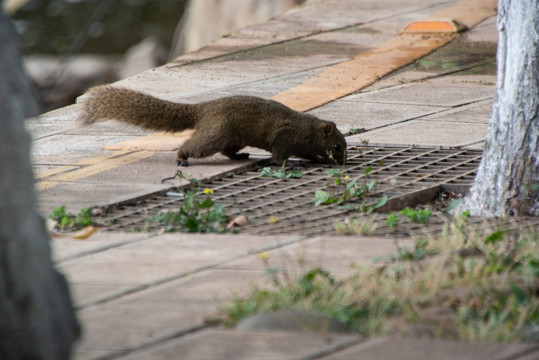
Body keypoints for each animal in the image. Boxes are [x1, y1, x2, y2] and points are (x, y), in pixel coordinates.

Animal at [81, 86, 348, 167]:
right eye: (337, 146)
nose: (343, 162)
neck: (308, 130)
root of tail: (203, 109)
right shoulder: (285, 136)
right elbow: (279, 154)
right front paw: (287, 163)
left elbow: (311, 155)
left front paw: (320, 160)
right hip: (216, 134)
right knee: (197, 146)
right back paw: (182, 158)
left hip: (233, 137)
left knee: (227, 151)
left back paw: (240, 156)